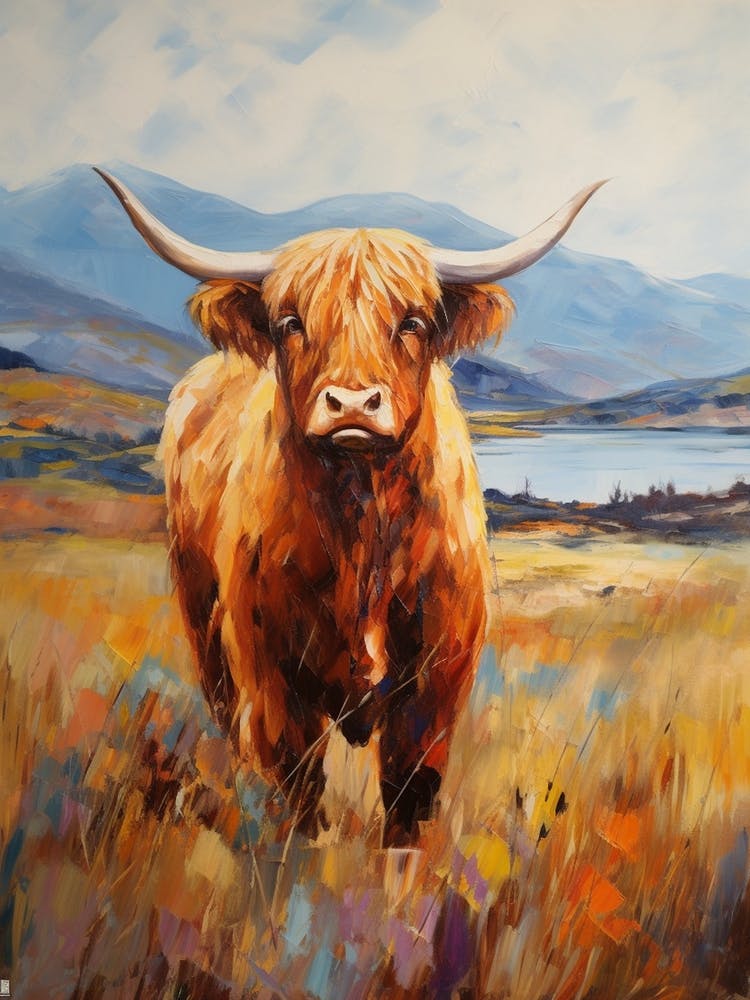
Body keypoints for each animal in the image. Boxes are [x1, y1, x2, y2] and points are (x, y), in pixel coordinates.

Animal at [96, 169, 603, 845]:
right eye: (290, 321)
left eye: (412, 321)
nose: (354, 404)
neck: (362, 529)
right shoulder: (272, 681)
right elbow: (301, 795)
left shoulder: (436, 685)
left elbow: (409, 800)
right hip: (203, 620)